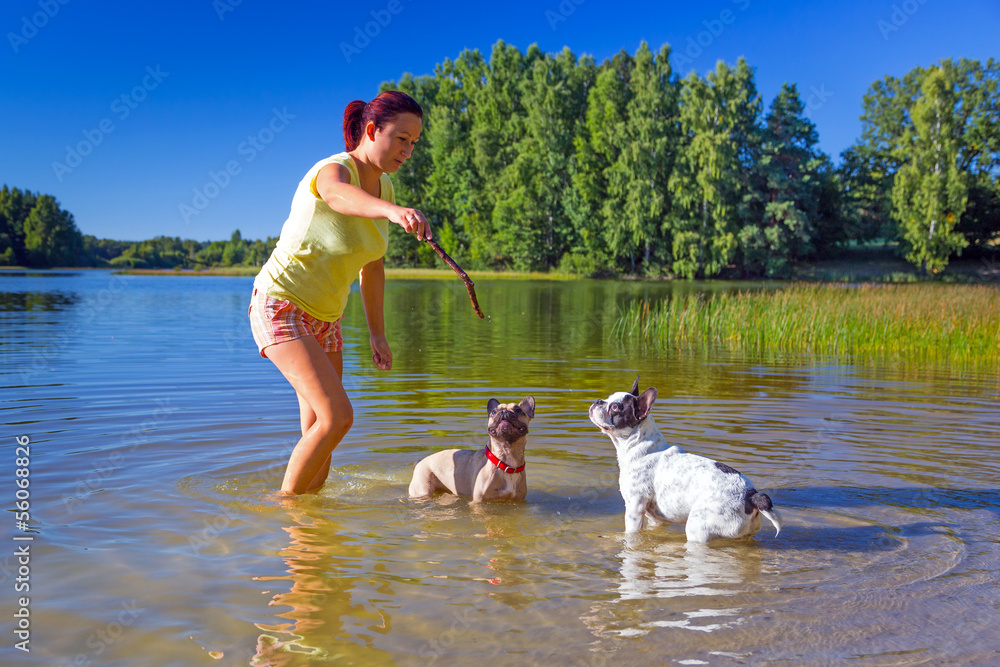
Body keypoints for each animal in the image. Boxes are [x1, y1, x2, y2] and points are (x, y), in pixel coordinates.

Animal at [406, 396, 536, 500]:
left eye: (518, 410)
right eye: (494, 412)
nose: (504, 412)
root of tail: (420, 462)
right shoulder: (478, 501)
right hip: (422, 490)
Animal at [588, 378, 784, 544]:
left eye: (615, 407)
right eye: (607, 399)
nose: (598, 401)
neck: (639, 446)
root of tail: (751, 495)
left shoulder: (634, 508)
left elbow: (631, 533)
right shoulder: (654, 518)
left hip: (698, 527)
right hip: (744, 534)